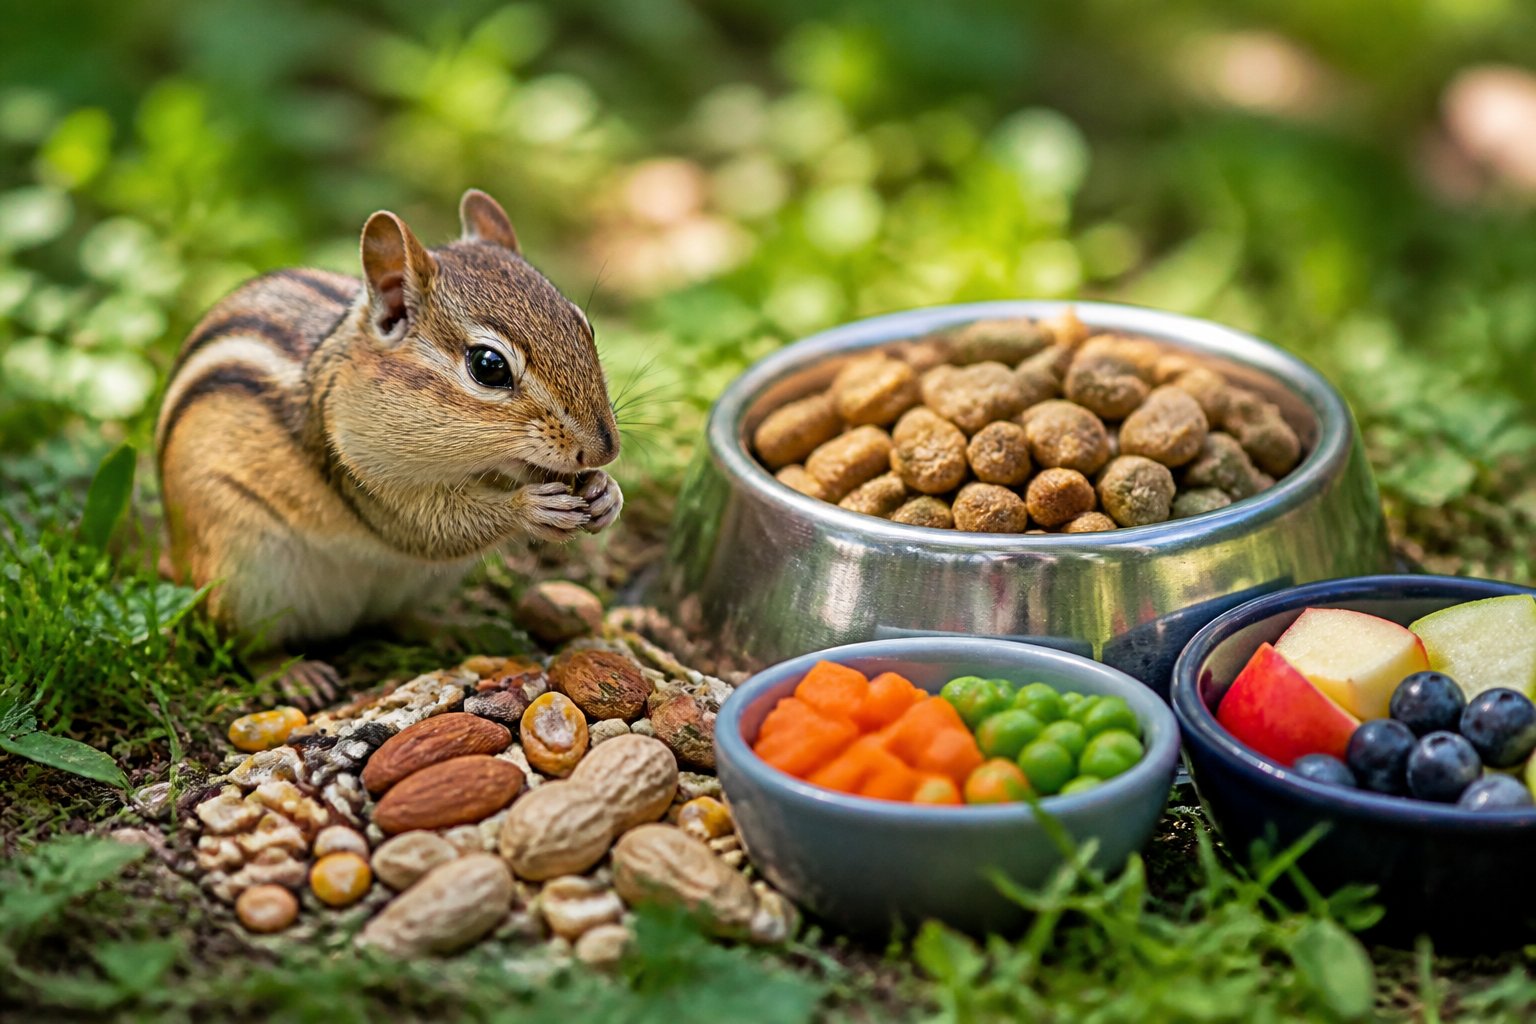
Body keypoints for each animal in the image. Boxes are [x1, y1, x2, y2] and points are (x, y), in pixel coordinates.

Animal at [155, 189, 622, 655]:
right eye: (488, 366)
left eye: (584, 325)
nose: (606, 449)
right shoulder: (357, 470)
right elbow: (429, 527)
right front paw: (528, 507)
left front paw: (605, 493)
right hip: (240, 579)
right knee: (245, 645)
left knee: (396, 618)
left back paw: (451, 629)